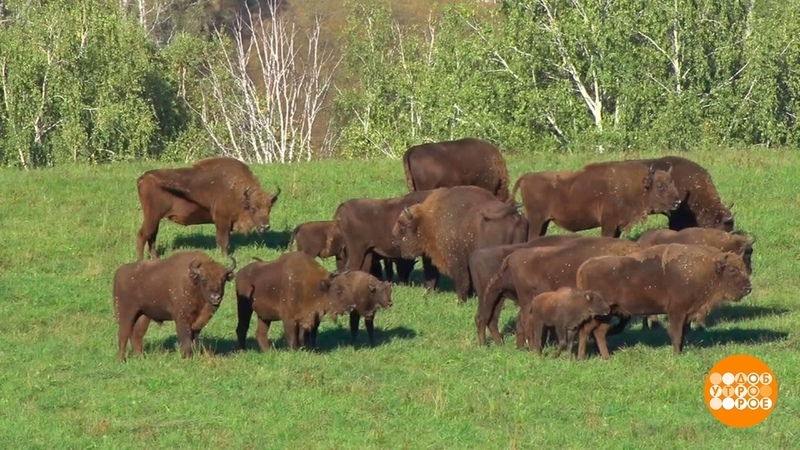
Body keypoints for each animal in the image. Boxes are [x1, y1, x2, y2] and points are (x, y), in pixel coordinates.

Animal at [139, 156, 282, 258]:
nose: (265, 226)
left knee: (151, 237)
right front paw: (225, 257)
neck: (239, 193)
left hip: (155, 219)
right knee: (142, 235)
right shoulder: (222, 221)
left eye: (269, 208)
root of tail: (144, 177)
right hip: (152, 217)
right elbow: (224, 241)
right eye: (253, 208)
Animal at [390, 185, 528, 304]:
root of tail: (512, 214)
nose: (394, 240)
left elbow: (462, 280)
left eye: (402, 226)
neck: (426, 219)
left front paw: (460, 301)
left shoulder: (456, 261)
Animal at [512, 161, 680, 241]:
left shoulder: (617, 226)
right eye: (660, 185)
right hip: (536, 221)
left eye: (672, 182)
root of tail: (527, 177)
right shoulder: (609, 224)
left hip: (544, 222)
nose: (677, 201)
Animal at [576, 243, 752, 358]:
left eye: (744, 268)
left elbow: (683, 333)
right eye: (732, 270)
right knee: (586, 330)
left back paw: (606, 357)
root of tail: (583, 268)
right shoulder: (677, 311)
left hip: (608, 313)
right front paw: (676, 355)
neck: (707, 269)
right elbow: (676, 332)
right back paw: (582, 357)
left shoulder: (687, 313)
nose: (748, 288)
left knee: (598, 332)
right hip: (600, 313)